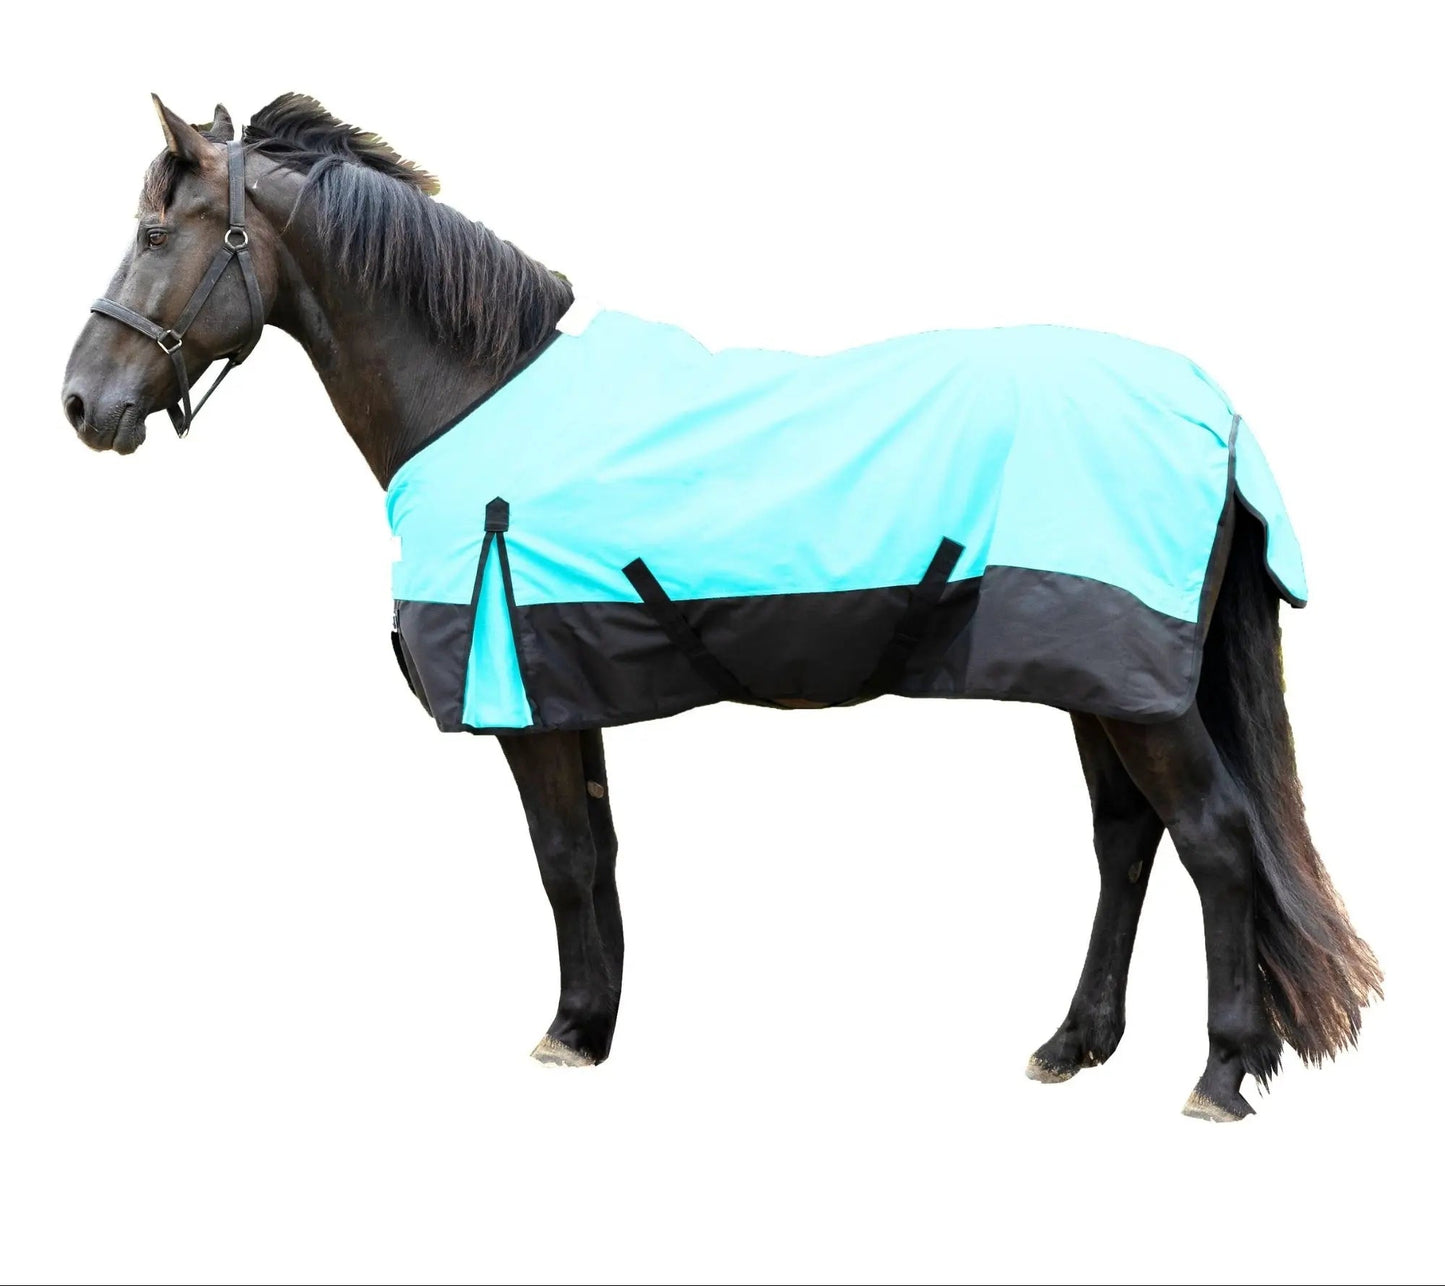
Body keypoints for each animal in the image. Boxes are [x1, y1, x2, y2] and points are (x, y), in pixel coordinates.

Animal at [61, 93, 1381, 1121]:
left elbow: (560, 857)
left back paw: (1217, 1072)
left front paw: (565, 1032)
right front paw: (591, 1023)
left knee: (1213, 840)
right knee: (1125, 841)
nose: (80, 402)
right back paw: (1073, 1044)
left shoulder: (522, 694)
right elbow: (592, 854)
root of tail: (1211, 409)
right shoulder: (562, 684)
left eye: (152, 232)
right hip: (1094, 680)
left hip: (1137, 693)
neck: (477, 393)